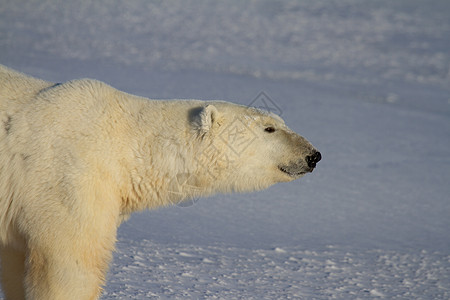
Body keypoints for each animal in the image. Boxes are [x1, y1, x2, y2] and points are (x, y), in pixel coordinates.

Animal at [0, 65, 320, 300]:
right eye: (269, 128)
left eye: (281, 123)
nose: (313, 155)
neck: (125, 144)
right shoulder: (67, 181)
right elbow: (70, 264)